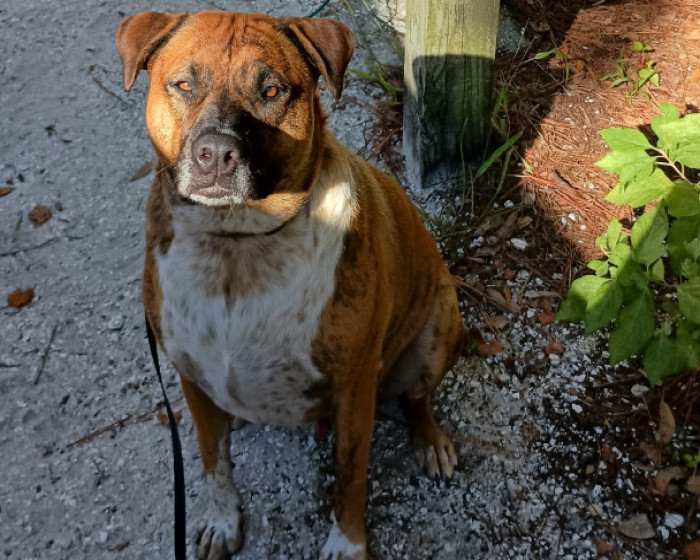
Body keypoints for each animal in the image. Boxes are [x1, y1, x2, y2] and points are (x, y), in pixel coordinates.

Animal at [116, 11, 463, 560]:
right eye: (184, 84)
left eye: (272, 90)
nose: (215, 154)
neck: (237, 248)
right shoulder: (189, 374)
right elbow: (213, 462)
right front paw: (223, 521)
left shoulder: (355, 387)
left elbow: (350, 475)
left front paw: (347, 544)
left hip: (438, 328)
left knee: (417, 397)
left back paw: (429, 440)